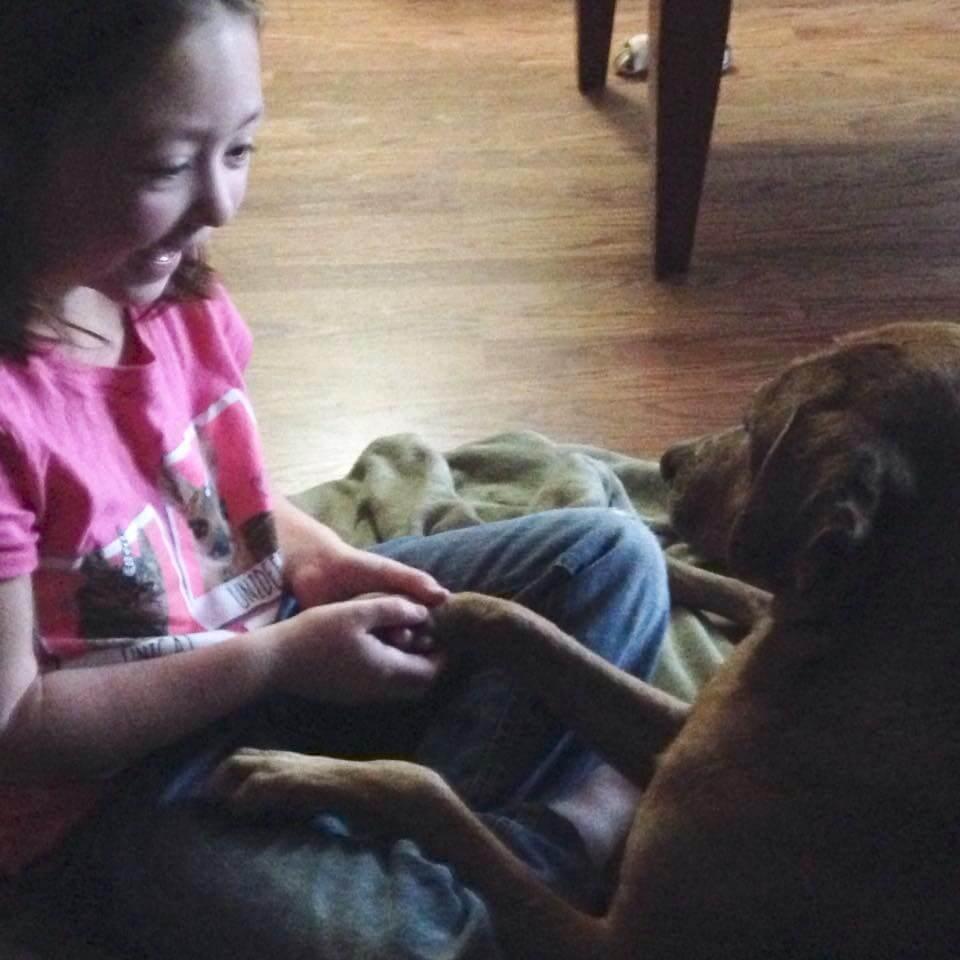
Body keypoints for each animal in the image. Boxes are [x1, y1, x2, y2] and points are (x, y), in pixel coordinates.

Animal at [208, 321, 960, 958]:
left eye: (753, 426)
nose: (670, 460)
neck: (843, 649)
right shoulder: (678, 730)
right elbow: (525, 628)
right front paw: (425, 607)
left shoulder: (620, 943)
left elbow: (429, 793)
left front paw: (295, 771)